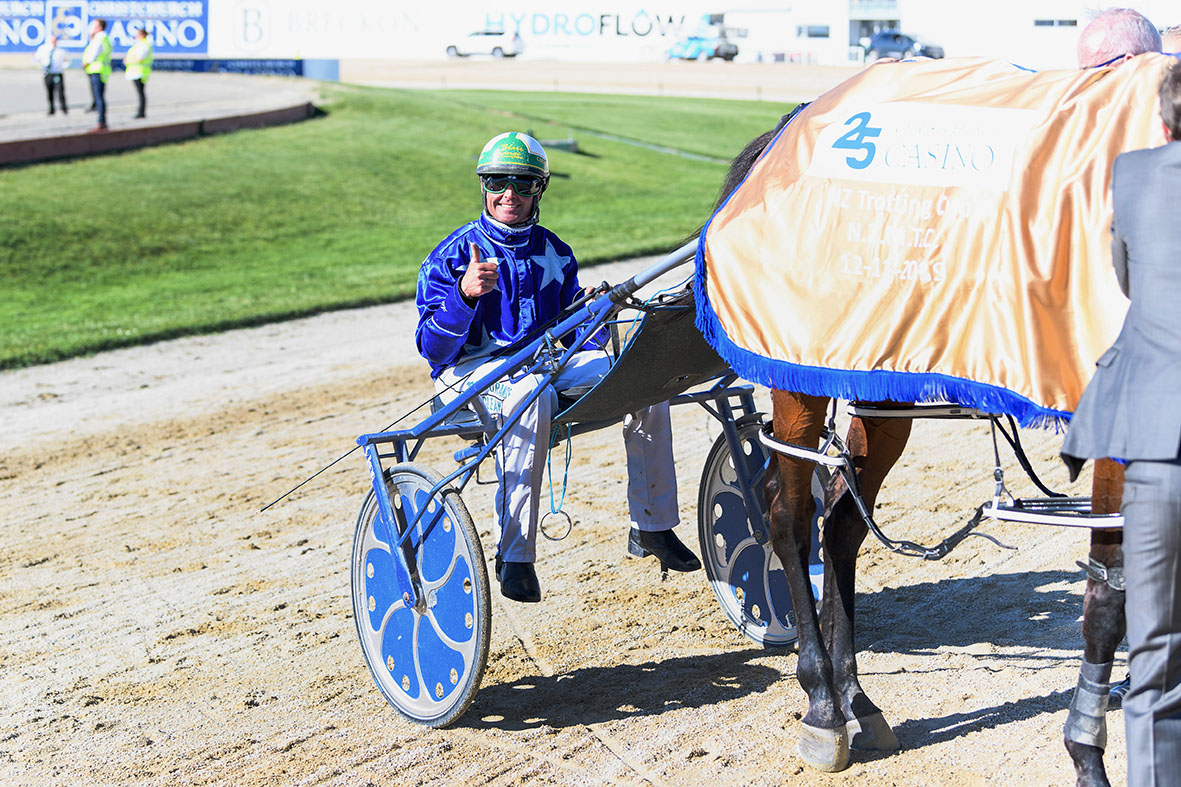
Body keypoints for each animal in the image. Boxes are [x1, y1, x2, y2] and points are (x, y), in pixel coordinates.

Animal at [713, 111, 1129, 784]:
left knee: (841, 522)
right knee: (787, 516)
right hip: (795, 373)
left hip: (878, 391)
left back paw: (854, 696)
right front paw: (1089, 755)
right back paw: (822, 703)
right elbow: (1108, 597)